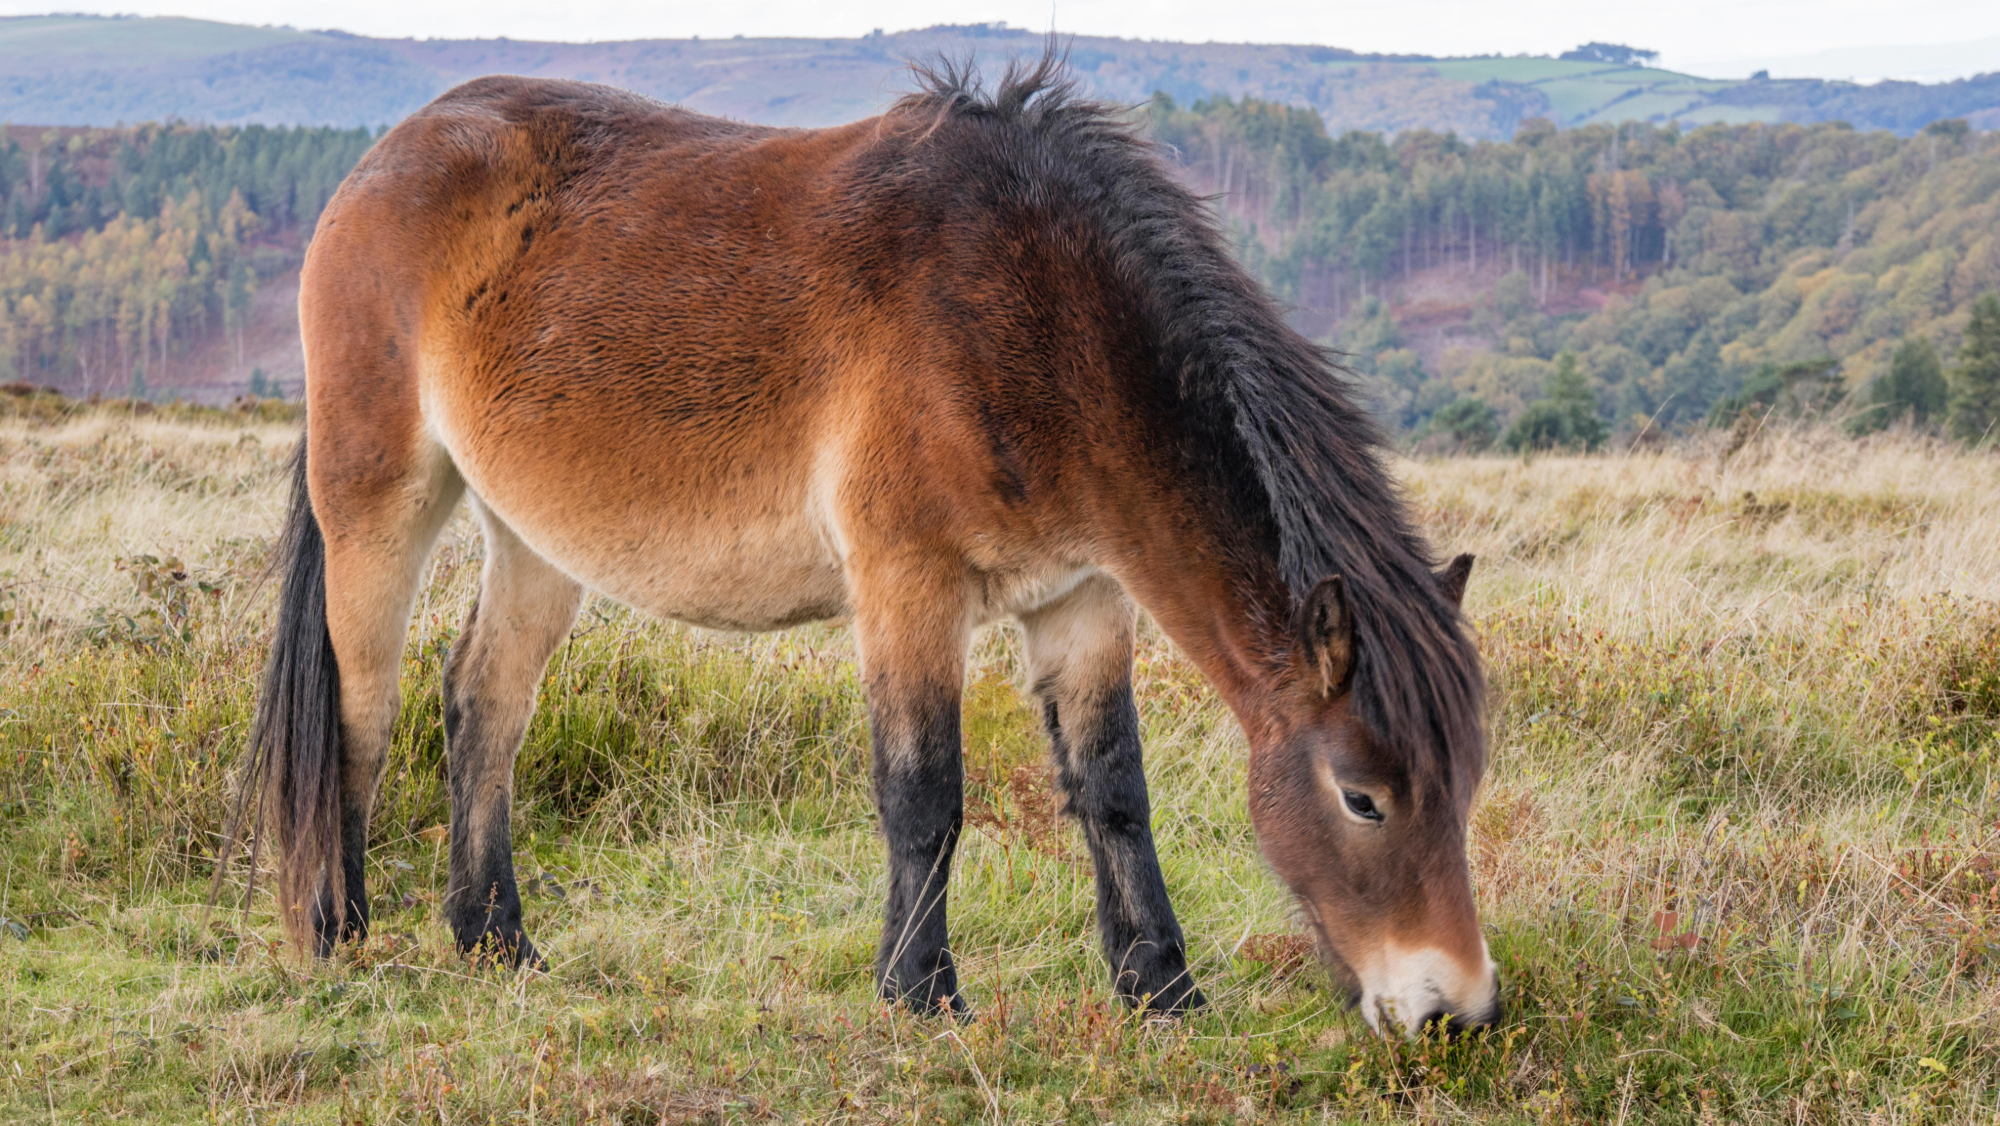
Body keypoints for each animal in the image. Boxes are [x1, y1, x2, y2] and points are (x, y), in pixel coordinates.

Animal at [237, 55, 1498, 1036]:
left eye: (1463, 782)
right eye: (1362, 798)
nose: (1454, 1010)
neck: (1031, 310)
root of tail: (384, 160)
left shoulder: (1083, 597)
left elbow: (1111, 791)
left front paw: (1159, 987)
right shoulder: (908, 584)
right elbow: (923, 793)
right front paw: (920, 989)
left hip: (534, 536)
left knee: (482, 706)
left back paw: (495, 939)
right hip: (378, 498)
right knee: (361, 708)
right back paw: (339, 931)